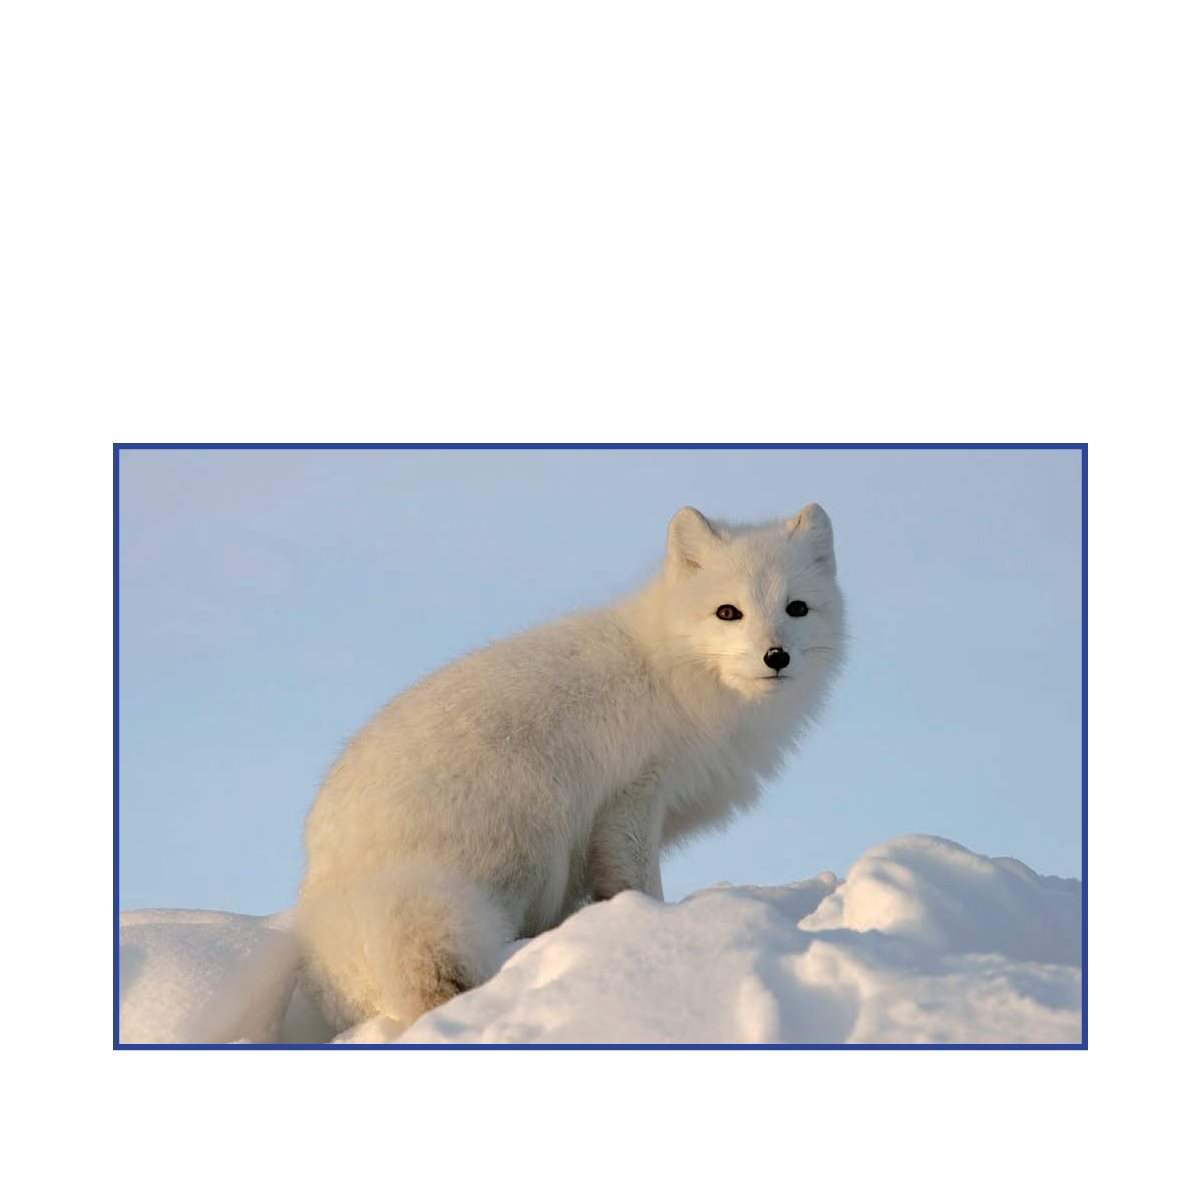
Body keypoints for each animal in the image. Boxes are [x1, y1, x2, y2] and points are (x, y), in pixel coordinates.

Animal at [296, 506, 849, 1032]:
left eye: (797, 608)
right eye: (728, 612)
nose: (776, 656)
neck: (669, 675)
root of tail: (328, 900)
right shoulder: (632, 799)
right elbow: (639, 884)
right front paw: (655, 927)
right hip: (528, 839)